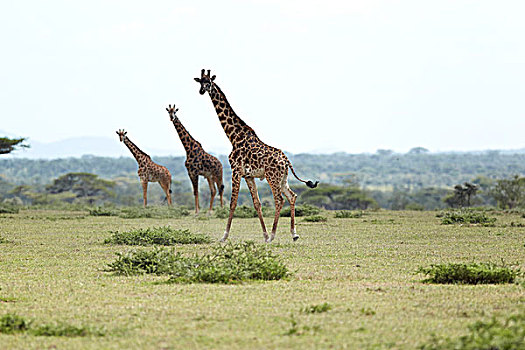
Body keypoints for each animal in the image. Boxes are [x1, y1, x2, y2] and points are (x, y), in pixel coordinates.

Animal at [194, 69, 318, 242]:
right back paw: (293, 234)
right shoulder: (248, 175)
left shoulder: (236, 171)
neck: (233, 136)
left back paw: (273, 235)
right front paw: (264, 235)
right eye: (200, 82)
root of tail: (286, 160)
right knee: (292, 196)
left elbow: (233, 203)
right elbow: (257, 203)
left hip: (272, 177)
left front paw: (224, 236)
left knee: (279, 199)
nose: (201, 91)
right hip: (283, 178)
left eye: (209, 82)